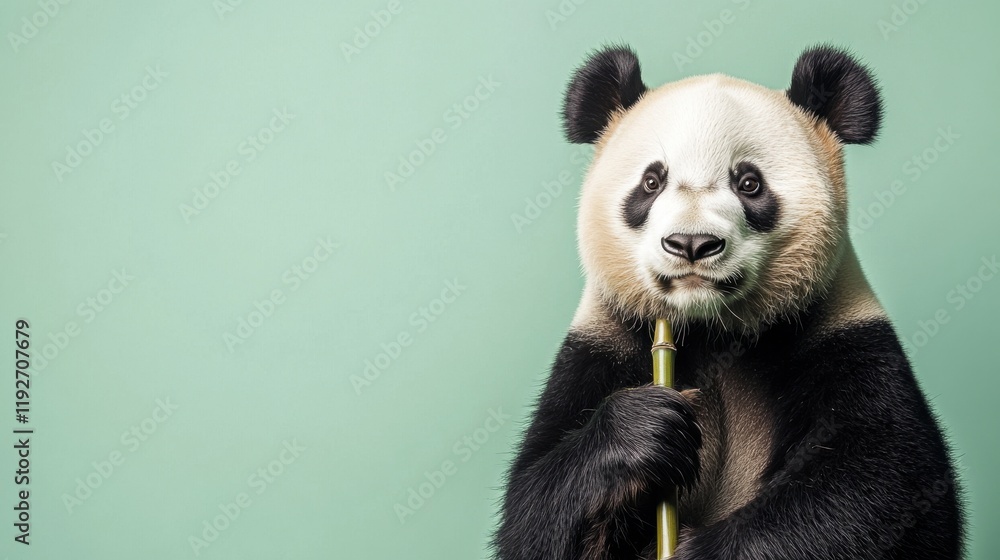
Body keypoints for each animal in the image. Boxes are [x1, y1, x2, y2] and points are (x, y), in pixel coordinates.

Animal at [494, 45, 964, 560]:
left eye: (749, 183)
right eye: (652, 182)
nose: (692, 244)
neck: (711, 328)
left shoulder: (841, 333)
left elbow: (883, 484)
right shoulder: (603, 343)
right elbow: (533, 511)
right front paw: (643, 429)